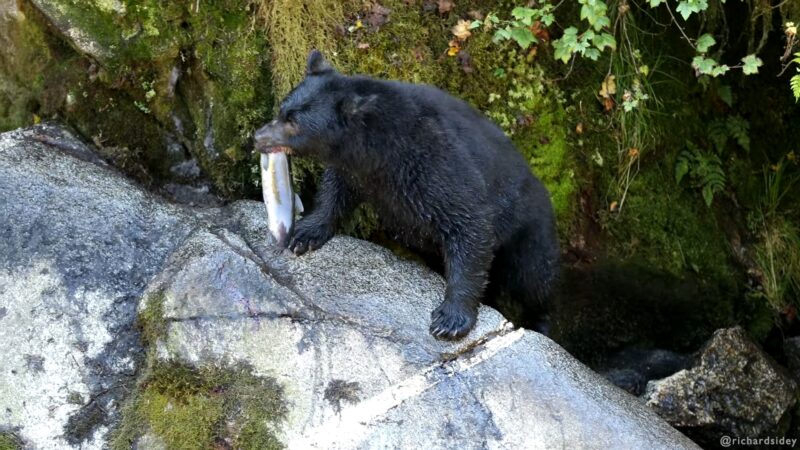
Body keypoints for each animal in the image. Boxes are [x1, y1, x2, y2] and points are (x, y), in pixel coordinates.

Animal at [253, 51, 560, 340]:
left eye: (294, 123)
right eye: (282, 110)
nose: (258, 136)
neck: (381, 150)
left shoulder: (435, 162)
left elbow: (469, 225)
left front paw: (451, 319)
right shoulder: (357, 169)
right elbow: (336, 190)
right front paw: (305, 233)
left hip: (528, 231)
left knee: (534, 279)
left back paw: (540, 322)